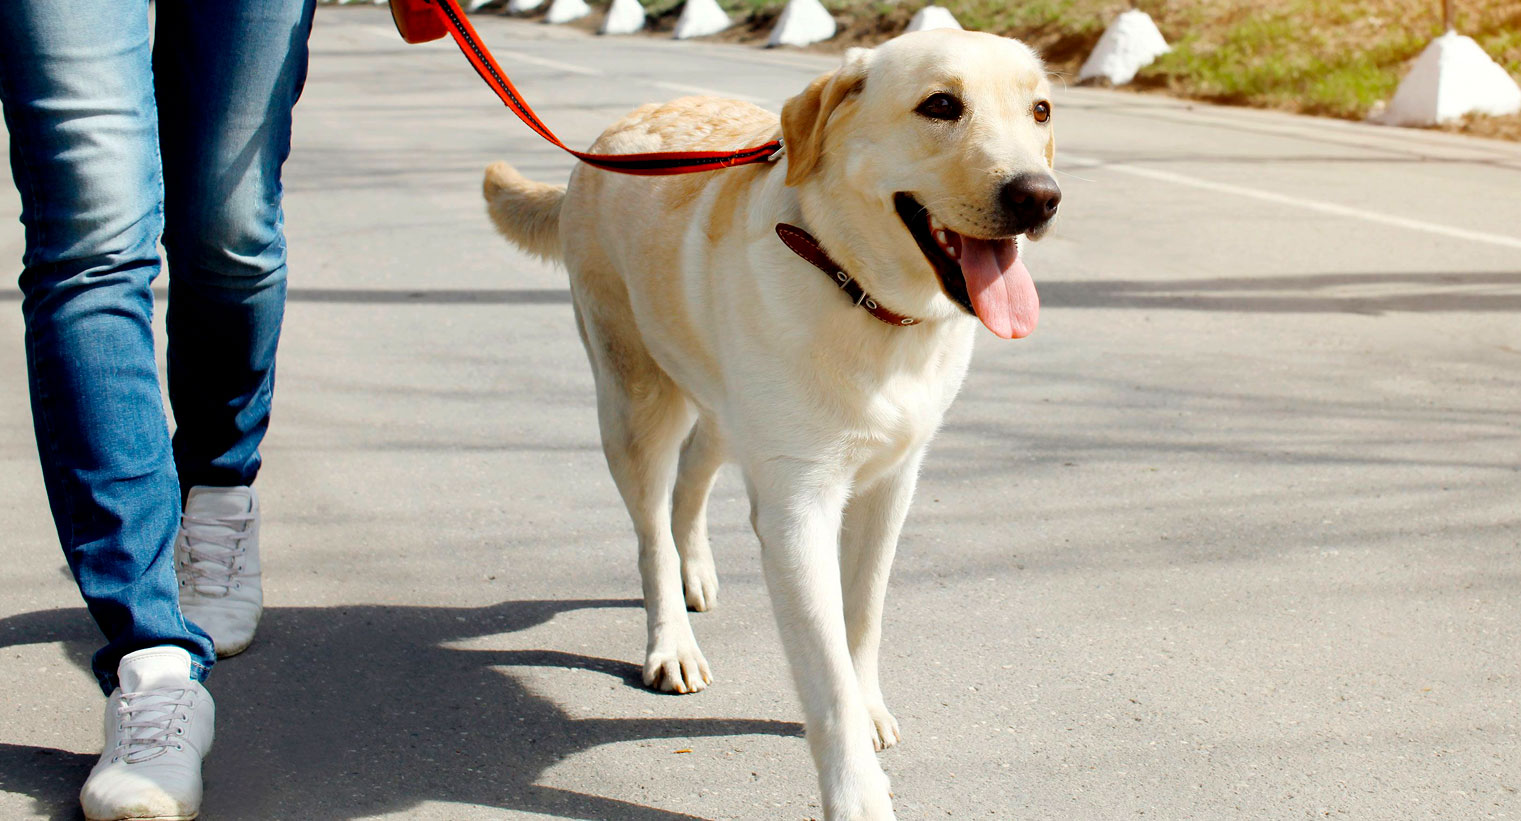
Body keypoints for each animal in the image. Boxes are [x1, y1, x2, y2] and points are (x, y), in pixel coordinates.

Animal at [483, 27, 1058, 821]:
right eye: (941, 106)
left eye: (1040, 110)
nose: (1040, 197)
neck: (861, 295)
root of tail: (612, 135)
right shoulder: (797, 510)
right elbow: (826, 671)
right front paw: (856, 793)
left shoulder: (891, 485)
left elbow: (863, 617)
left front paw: (869, 704)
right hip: (634, 401)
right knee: (651, 529)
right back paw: (671, 639)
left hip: (724, 406)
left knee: (693, 478)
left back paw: (695, 570)